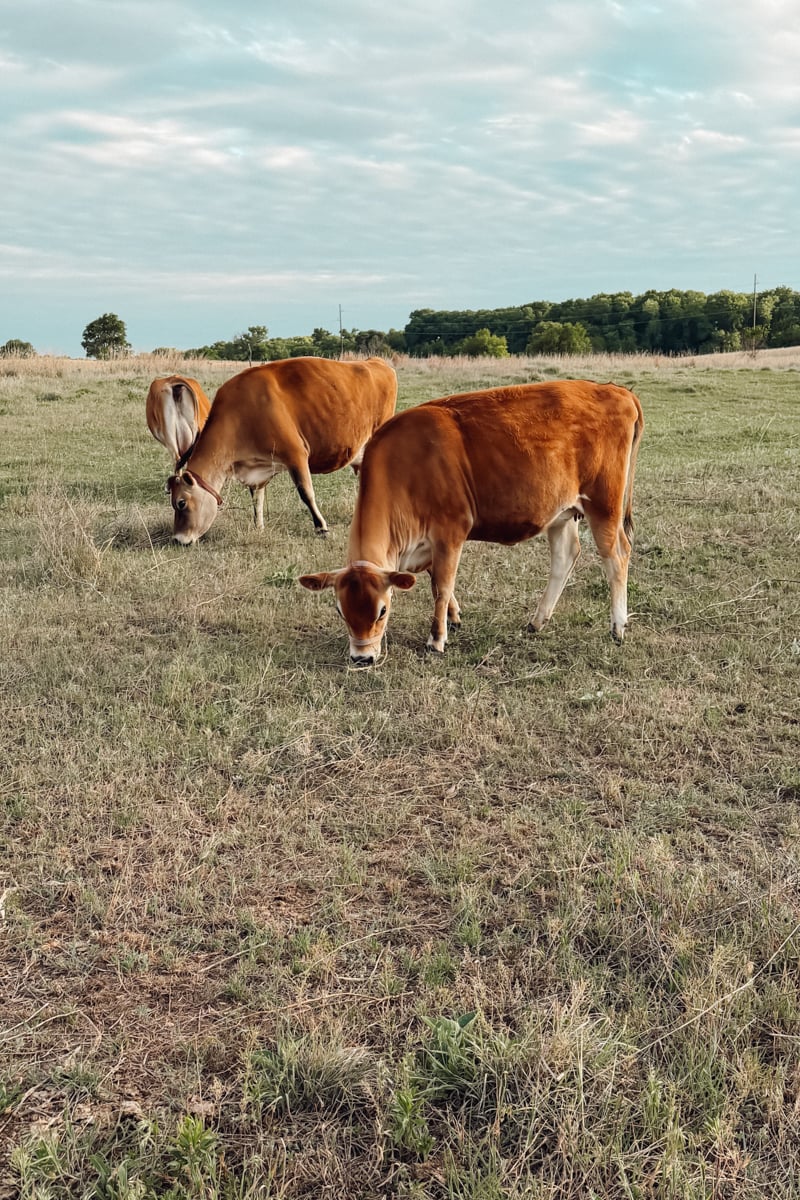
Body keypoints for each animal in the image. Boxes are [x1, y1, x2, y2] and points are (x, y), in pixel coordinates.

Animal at [167, 356, 398, 544]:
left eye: (181, 503)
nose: (178, 539)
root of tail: (375, 362)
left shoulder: (296, 454)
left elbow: (306, 492)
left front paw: (321, 527)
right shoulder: (257, 468)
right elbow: (257, 500)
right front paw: (259, 527)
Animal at [299, 379, 644, 665]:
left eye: (382, 611)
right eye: (340, 610)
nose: (362, 658)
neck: (405, 466)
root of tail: (615, 390)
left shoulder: (450, 533)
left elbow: (442, 585)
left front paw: (436, 639)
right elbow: (437, 580)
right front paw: (453, 617)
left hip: (604, 506)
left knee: (617, 556)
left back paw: (618, 627)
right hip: (562, 512)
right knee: (565, 556)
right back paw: (537, 621)